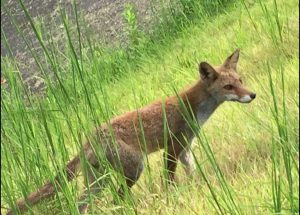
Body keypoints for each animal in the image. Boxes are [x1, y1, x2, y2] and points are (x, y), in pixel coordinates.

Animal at [6, 48, 255, 213]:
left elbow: (193, 174)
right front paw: (174, 200)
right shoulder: (171, 149)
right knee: (118, 197)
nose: (252, 95)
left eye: (240, 80)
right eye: (229, 86)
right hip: (135, 168)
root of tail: (89, 137)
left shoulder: (185, 150)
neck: (194, 107)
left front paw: (202, 189)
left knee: (82, 203)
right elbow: (169, 181)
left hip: (98, 181)